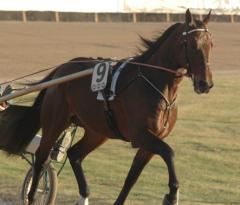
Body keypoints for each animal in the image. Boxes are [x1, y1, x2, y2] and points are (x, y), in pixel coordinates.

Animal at [0, 9, 214, 205]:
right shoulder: (140, 135)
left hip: (98, 131)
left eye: (210, 44)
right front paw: (172, 195)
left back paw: (84, 195)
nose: (205, 83)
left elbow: (131, 178)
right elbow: (169, 152)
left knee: (74, 154)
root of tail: (61, 69)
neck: (154, 82)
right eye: (191, 44)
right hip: (55, 122)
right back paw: (32, 196)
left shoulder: (150, 141)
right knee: (41, 158)